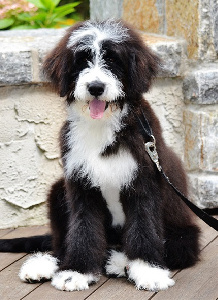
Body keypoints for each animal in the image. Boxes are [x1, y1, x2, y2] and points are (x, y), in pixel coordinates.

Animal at [0, 19, 200, 292]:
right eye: (82, 60)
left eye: (113, 60)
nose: (96, 87)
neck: (101, 125)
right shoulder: (80, 187)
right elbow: (82, 231)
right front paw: (76, 272)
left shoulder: (142, 183)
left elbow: (144, 228)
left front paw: (148, 271)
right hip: (57, 190)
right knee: (62, 243)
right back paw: (45, 265)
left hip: (184, 235)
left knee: (174, 248)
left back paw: (119, 261)